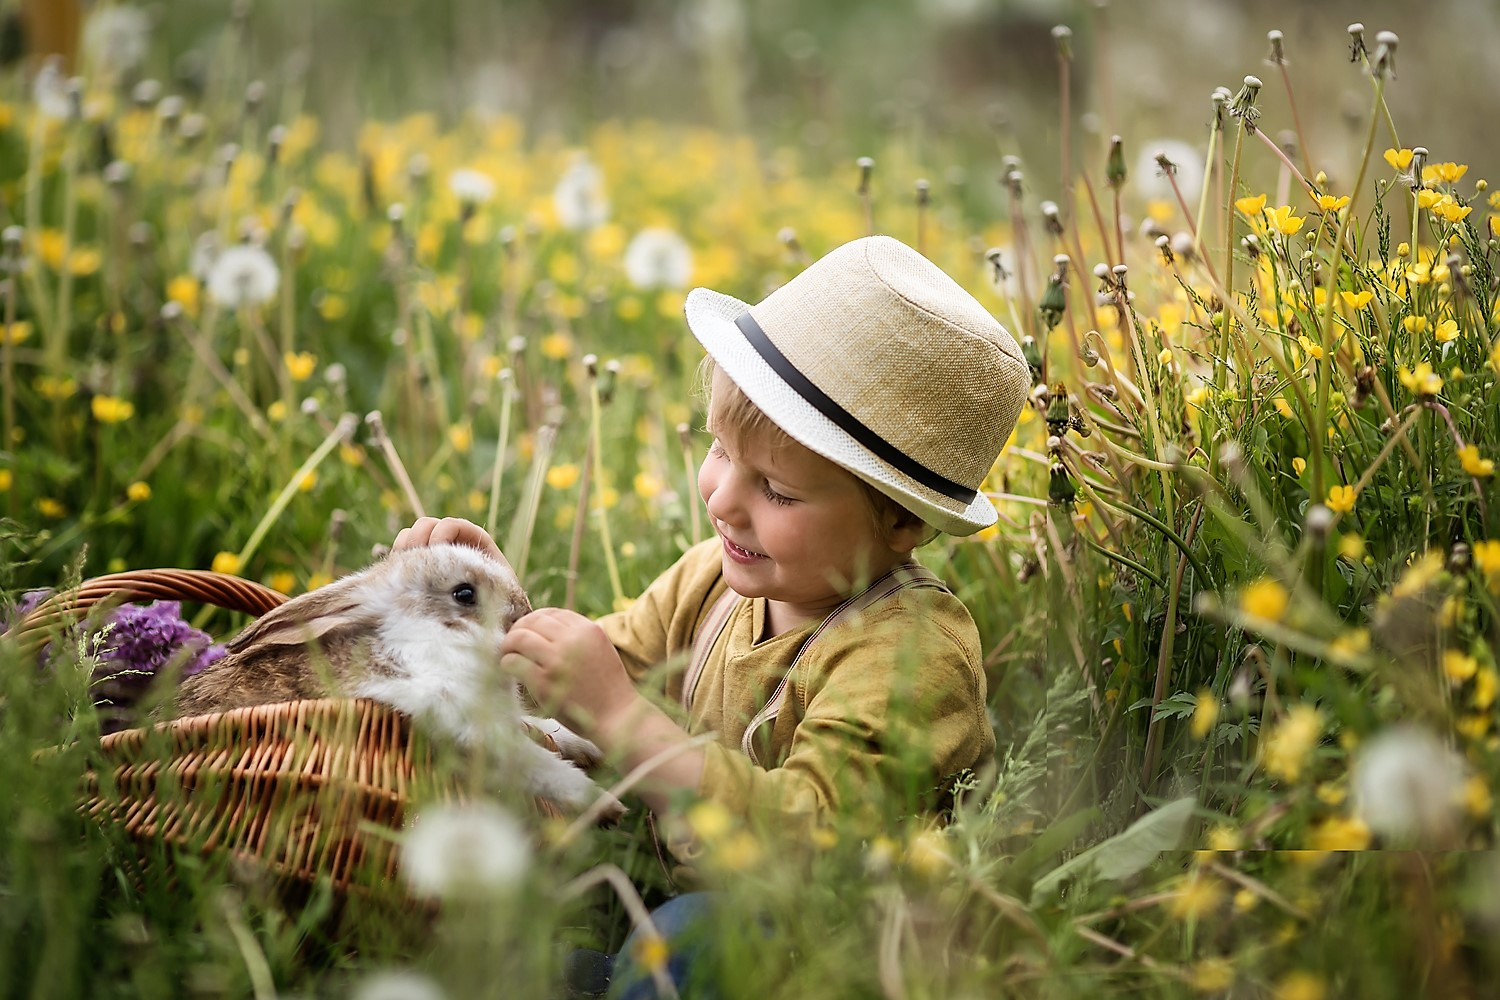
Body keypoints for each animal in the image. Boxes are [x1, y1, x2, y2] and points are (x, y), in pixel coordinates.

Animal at [175, 548, 621, 821]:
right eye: (464, 594)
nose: (524, 611)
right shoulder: (464, 725)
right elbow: (539, 765)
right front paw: (606, 805)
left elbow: (547, 730)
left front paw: (592, 749)